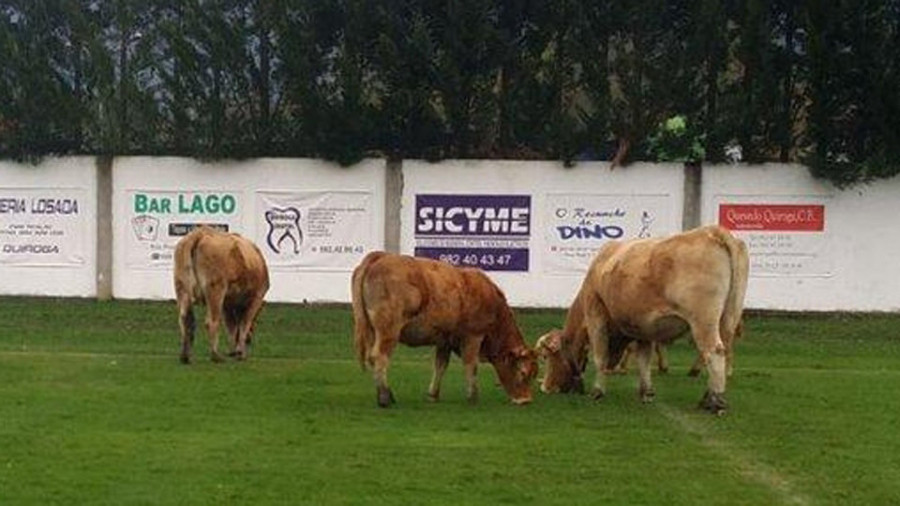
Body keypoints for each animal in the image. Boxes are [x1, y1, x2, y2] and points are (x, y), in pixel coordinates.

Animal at [173, 226, 268, 364]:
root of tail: (199, 234)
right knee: (211, 321)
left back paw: (185, 356)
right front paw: (240, 353)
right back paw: (215, 355)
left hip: (182, 287)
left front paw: (234, 351)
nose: (250, 340)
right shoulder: (256, 297)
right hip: (215, 290)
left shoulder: (227, 304)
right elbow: (243, 324)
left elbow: (231, 326)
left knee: (184, 319)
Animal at [350, 252, 536, 408]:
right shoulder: (473, 336)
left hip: (373, 331)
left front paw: (433, 394)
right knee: (379, 356)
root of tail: (380, 256)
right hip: (389, 330)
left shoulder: (444, 340)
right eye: (523, 372)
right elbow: (471, 364)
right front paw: (473, 396)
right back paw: (384, 397)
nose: (525, 400)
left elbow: (440, 365)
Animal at [536, 226, 748, 416]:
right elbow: (644, 359)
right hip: (728, 318)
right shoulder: (643, 327)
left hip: (703, 320)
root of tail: (712, 231)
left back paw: (715, 402)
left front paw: (597, 391)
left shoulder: (596, 314)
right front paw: (646, 392)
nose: (545, 388)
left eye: (546, 357)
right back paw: (707, 396)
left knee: (713, 352)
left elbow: (600, 355)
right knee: (724, 348)